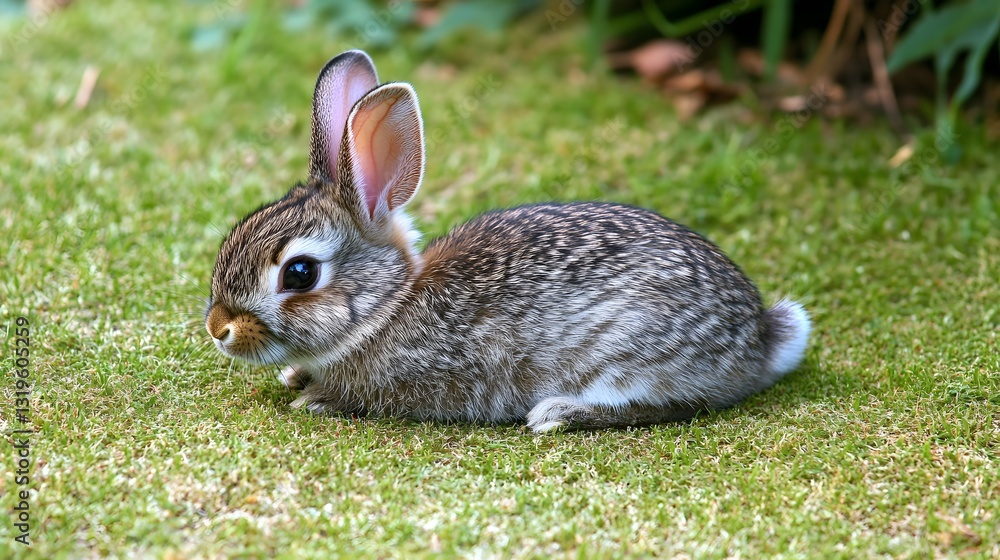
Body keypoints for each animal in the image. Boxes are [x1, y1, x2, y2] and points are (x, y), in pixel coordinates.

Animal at [205, 50, 811, 433]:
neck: (387, 305)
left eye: (299, 273)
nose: (218, 329)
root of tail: (761, 337)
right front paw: (295, 376)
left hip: (630, 354)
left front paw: (315, 399)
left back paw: (559, 414)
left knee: (672, 404)